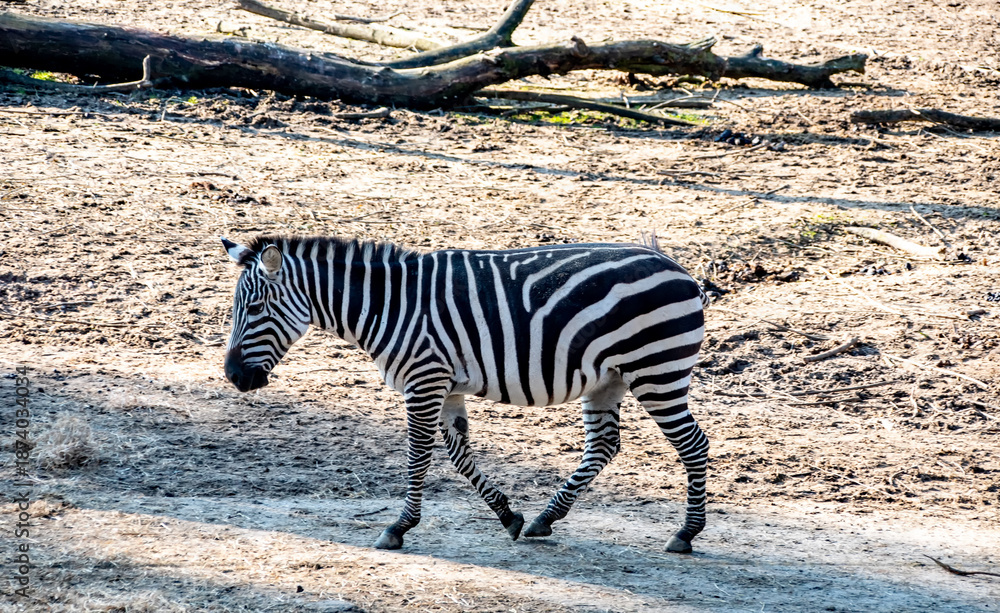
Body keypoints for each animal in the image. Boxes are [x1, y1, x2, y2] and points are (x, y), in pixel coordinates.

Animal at [221, 234, 710, 553]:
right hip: (608, 379)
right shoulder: (445, 385)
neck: (388, 306)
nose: (233, 376)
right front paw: (509, 516)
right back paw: (544, 519)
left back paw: (686, 534)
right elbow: (459, 456)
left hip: (657, 370)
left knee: (694, 444)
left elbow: (419, 455)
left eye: (256, 308)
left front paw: (398, 527)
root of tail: (677, 267)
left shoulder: (423, 379)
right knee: (604, 445)